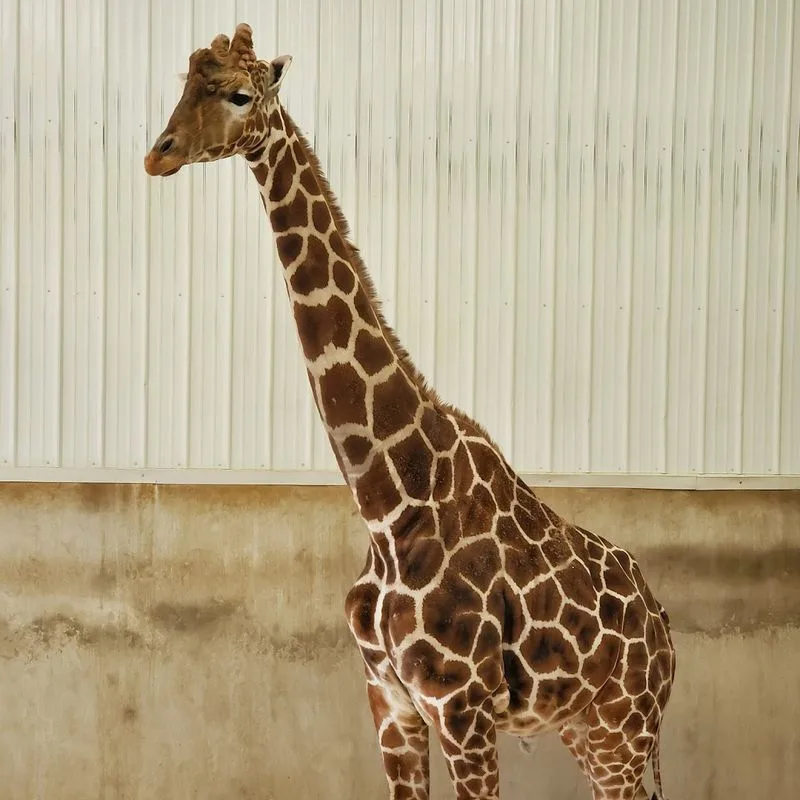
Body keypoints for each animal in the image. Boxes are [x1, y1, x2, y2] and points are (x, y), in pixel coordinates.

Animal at [144, 24, 676, 800]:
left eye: (241, 94)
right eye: (184, 84)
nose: (158, 154)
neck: (387, 501)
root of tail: (667, 629)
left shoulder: (461, 705)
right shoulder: (389, 699)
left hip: (622, 730)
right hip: (587, 729)